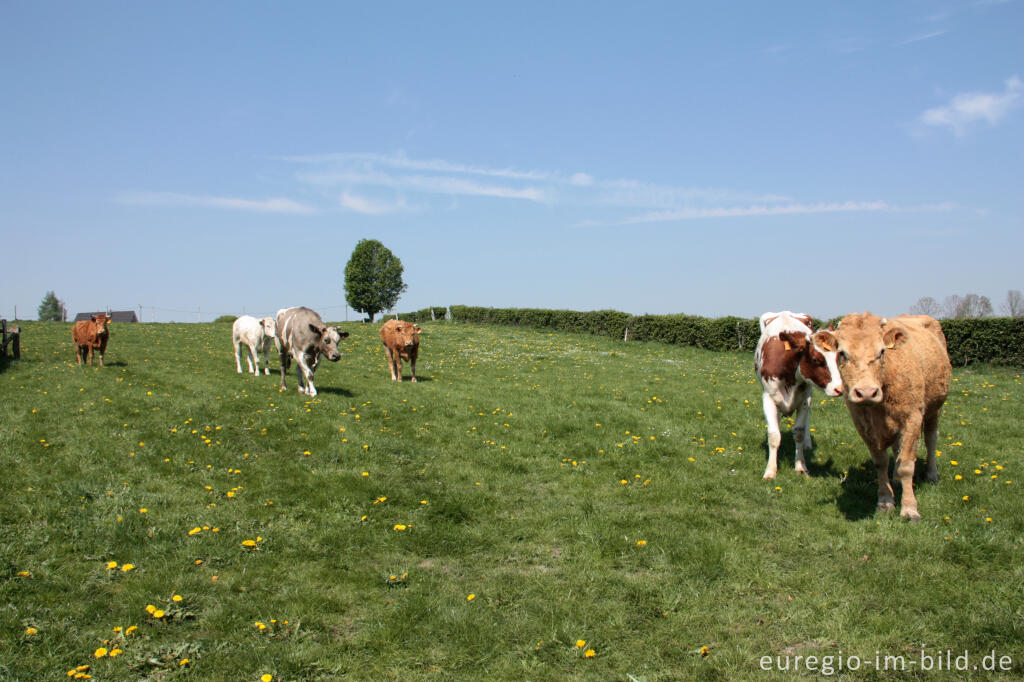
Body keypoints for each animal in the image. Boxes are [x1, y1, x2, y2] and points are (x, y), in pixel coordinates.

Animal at [757, 309, 843, 477]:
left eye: (838, 357)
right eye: (816, 360)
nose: (840, 388)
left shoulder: (804, 399)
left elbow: (799, 433)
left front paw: (800, 466)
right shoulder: (768, 397)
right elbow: (774, 435)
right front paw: (770, 470)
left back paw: (808, 444)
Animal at [815, 313, 950, 520]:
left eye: (881, 352)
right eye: (842, 353)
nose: (866, 392)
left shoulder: (912, 418)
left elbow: (907, 464)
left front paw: (909, 508)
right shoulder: (862, 424)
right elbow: (881, 462)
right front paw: (885, 500)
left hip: (935, 408)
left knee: (931, 439)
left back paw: (932, 474)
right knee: (897, 448)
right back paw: (895, 477)